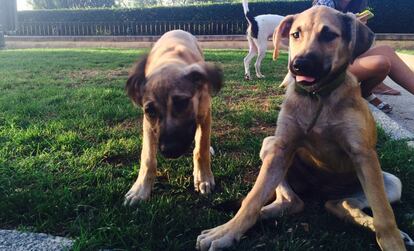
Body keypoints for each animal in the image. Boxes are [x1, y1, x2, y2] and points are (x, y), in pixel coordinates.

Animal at [124, 29, 223, 206]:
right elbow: (148, 158)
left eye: (182, 103)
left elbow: (201, 148)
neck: (169, 61)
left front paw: (203, 178)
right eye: (150, 111)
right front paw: (140, 189)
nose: (170, 150)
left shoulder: (205, 113)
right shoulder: (148, 124)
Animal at [197, 5, 410, 251]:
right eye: (295, 34)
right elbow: (252, 199)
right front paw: (227, 232)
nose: (298, 65)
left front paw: (393, 242)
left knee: (341, 204)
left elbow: (384, 213)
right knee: (292, 201)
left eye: (329, 35)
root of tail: (319, 190)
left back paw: (392, 231)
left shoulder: (364, 155)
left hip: (389, 182)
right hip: (270, 145)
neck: (317, 97)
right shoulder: (281, 148)